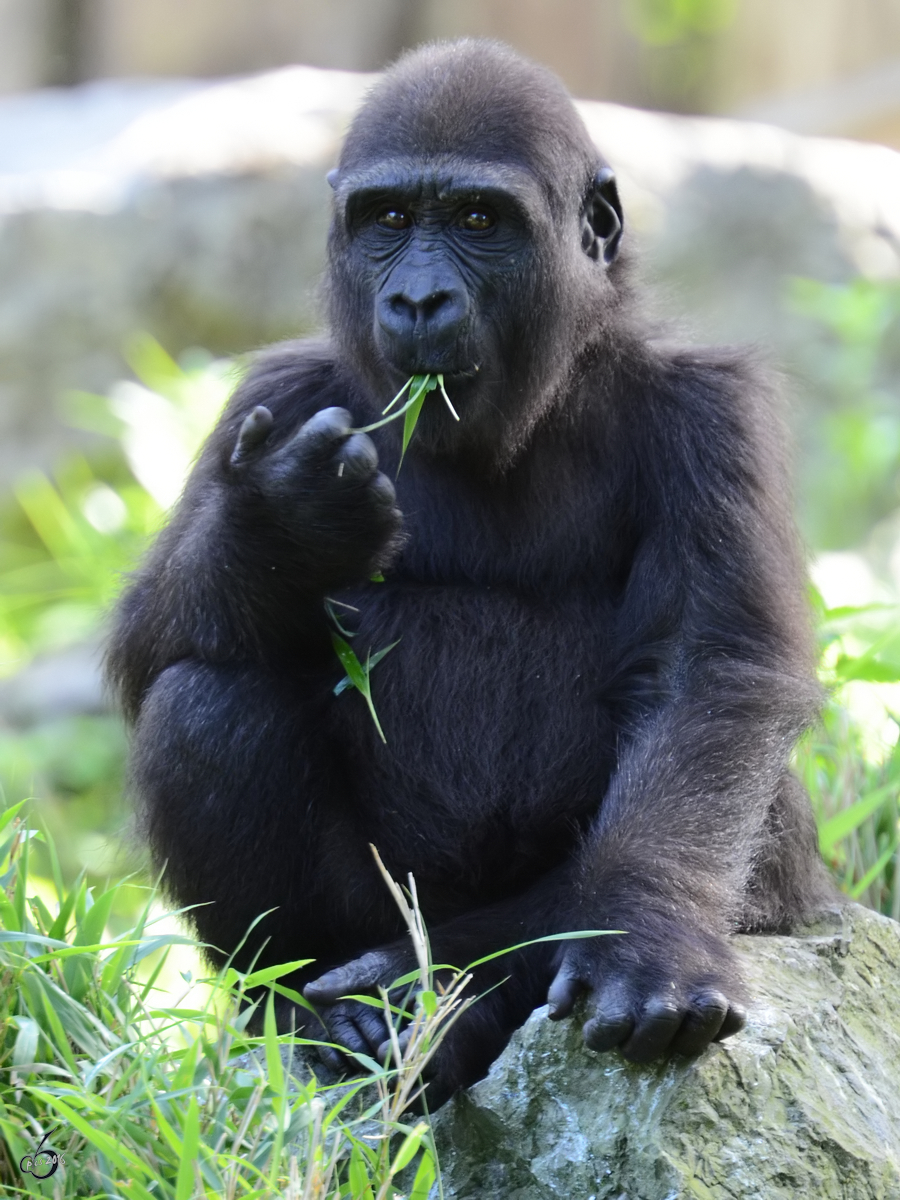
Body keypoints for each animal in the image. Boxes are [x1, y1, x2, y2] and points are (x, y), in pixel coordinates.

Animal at [107, 39, 840, 1104]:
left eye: (479, 221)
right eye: (389, 220)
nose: (417, 299)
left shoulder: (712, 411)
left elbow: (715, 673)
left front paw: (644, 934)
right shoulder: (276, 395)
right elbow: (147, 644)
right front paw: (281, 526)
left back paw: (466, 975)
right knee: (204, 702)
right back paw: (321, 1023)